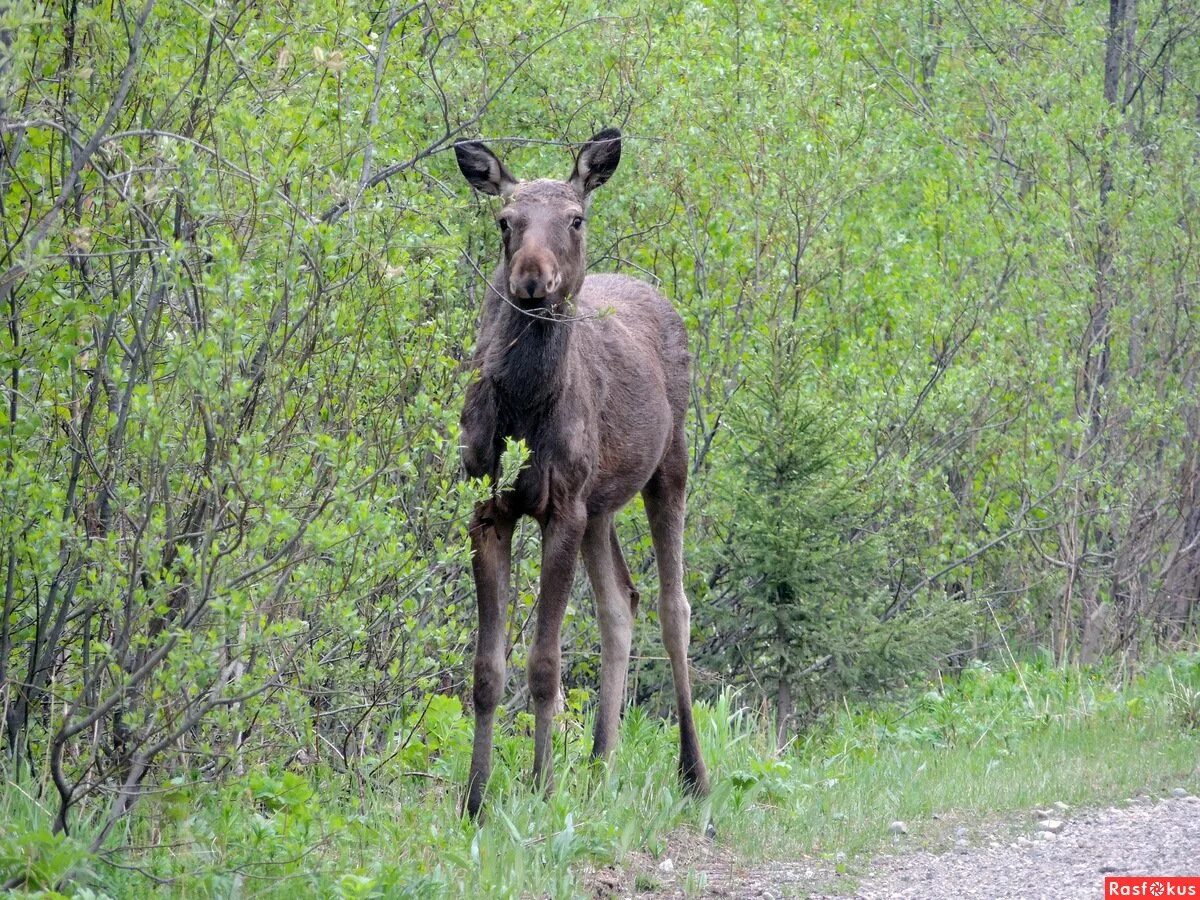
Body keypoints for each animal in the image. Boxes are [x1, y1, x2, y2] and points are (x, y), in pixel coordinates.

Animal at [453, 130, 705, 820]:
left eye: (574, 218)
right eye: (505, 220)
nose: (532, 280)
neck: (521, 407)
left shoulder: (559, 508)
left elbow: (545, 664)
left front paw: (541, 787)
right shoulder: (488, 509)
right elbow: (486, 671)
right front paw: (475, 798)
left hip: (669, 466)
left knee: (673, 606)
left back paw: (694, 772)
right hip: (601, 504)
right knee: (622, 601)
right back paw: (600, 764)